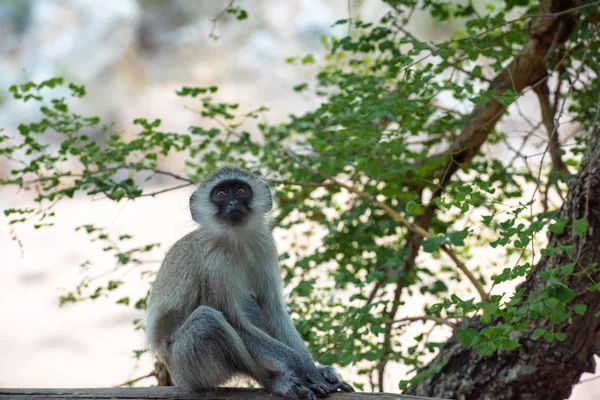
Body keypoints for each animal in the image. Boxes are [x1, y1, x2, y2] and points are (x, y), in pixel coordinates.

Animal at [146, 164, 354, 398]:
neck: (236, 239)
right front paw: (302, 368)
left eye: (241, 191)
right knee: (208, 321)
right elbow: (235, 322)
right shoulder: (212, 262)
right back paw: (274, 382)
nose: (233, 204)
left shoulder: (264, 243)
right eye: (221, 194)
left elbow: (273, 309)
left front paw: (312, 369)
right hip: (186, 367)